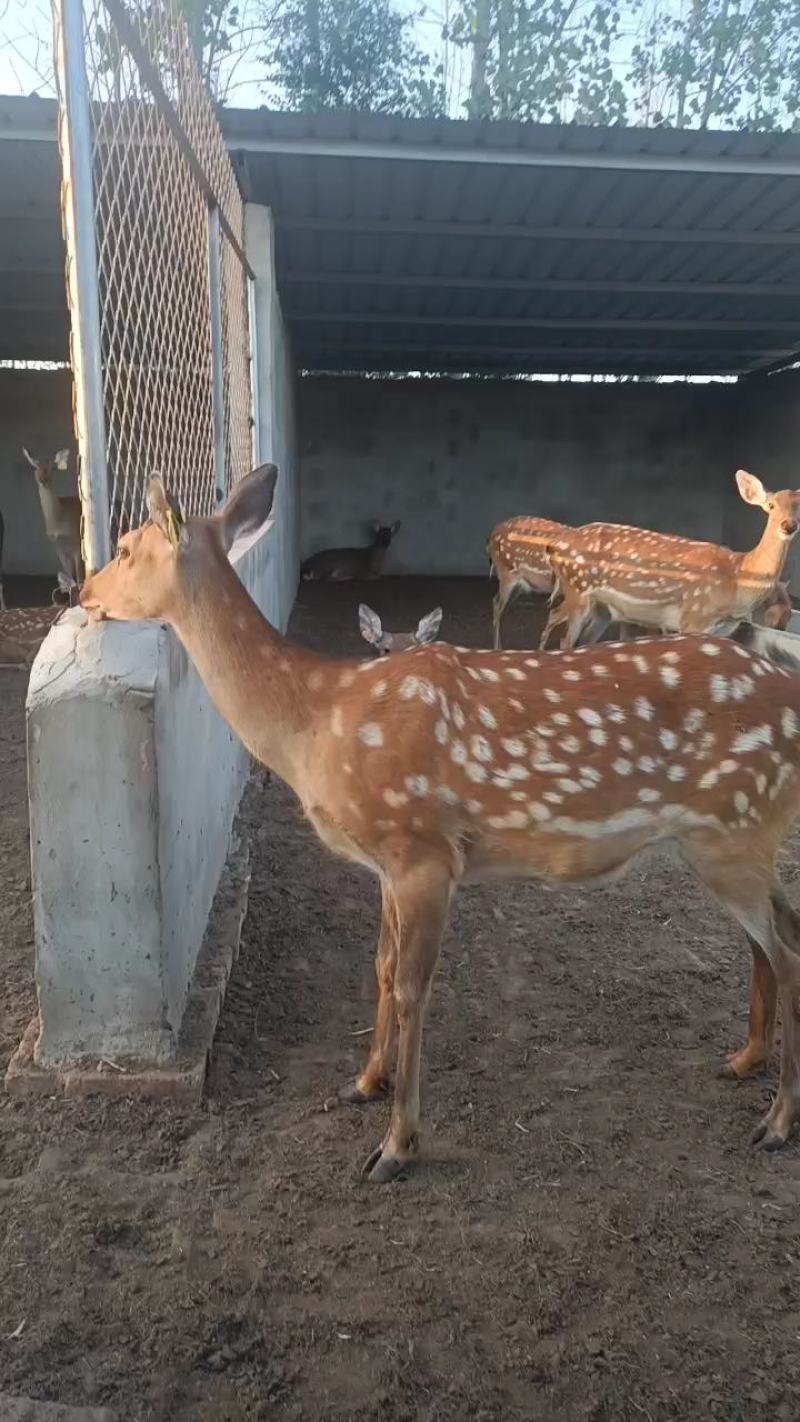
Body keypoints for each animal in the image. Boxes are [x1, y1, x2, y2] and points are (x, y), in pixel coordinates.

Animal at [23, 447, 82, 600]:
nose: (42, 480)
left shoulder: (76, 543)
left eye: (51, 468)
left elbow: (79, 577)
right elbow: (69, 577)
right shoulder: (57, 547)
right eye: (35, 467)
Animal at [539, 470, 800, 651]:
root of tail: (555, 545)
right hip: (578, 589)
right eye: (770, 505)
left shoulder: (722, 628)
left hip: (602, 607)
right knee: (565, 638)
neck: (738, 577)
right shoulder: (693, 616)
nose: (788, 525)